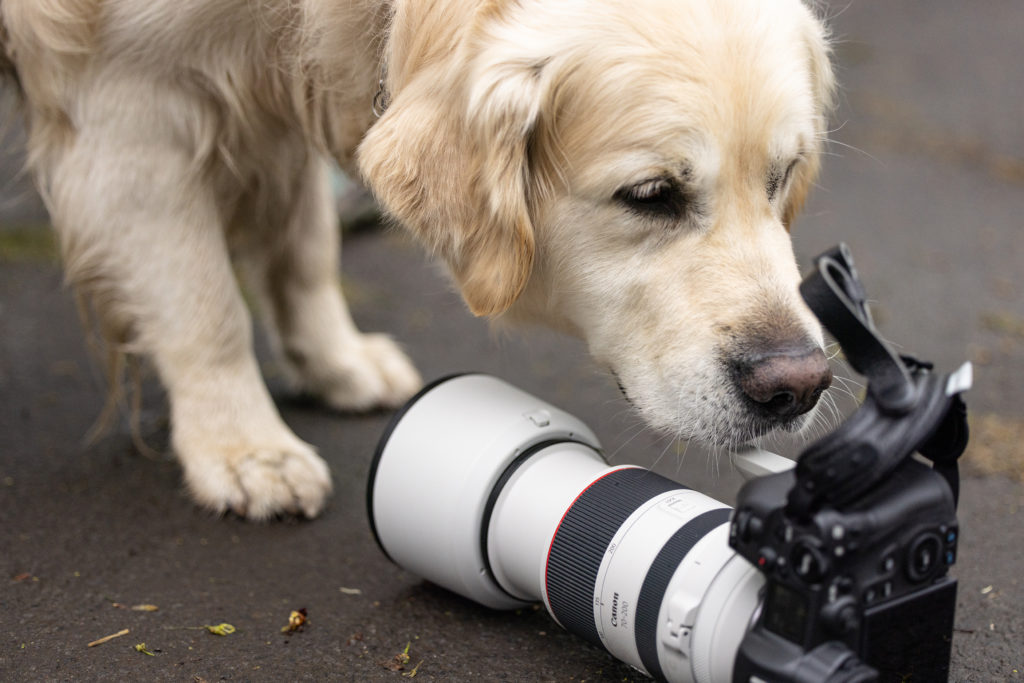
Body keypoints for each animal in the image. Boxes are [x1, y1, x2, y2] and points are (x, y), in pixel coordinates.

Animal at [0, 0, 831, 520]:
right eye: (652, 194)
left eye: (782, 177)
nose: (797, 385)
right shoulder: (126, 104)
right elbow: (206, 304)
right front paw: (242, 447)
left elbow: (305, 241)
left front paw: (332, 360)